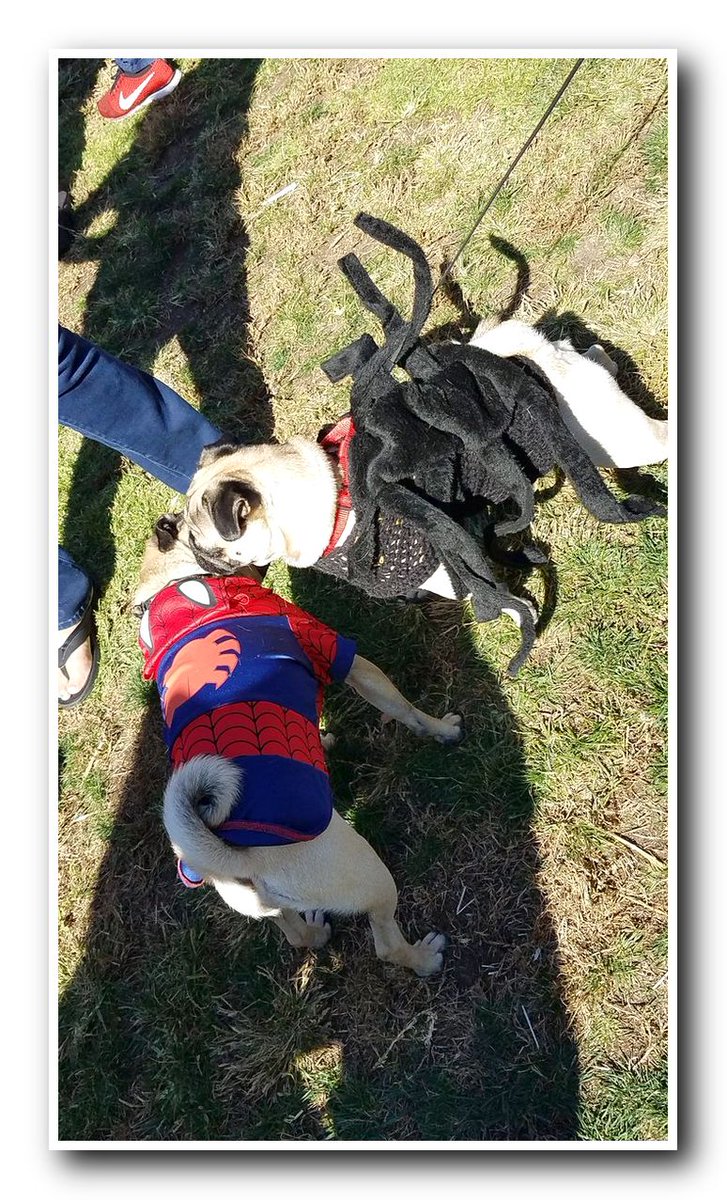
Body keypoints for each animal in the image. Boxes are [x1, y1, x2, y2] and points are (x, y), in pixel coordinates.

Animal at [133, 513, 465, 974]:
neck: (172, 584)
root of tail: (234, 858)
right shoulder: (348, 661)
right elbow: (404, 709)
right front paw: (439, 730)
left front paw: (321, 741)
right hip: (369, 875)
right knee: (385, 942)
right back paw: (423, 957)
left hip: (274, 908)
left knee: (292, 934)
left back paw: (316, 933)